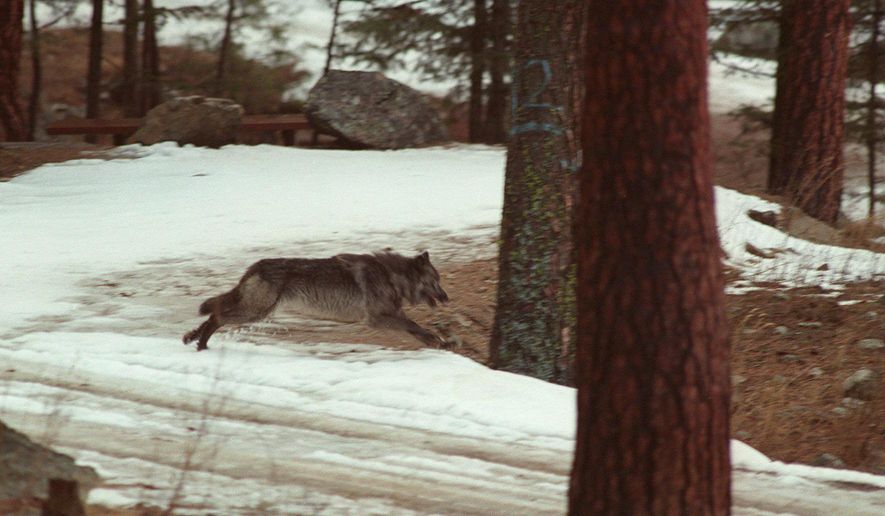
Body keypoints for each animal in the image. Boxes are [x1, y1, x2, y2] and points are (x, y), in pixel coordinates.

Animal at [182, 250, 449, 351]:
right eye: (435, 281)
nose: (447, 298)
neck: (391, 276)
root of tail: (255, 266)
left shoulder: (392, 315)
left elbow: (417, 330)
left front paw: (439, 342)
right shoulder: (377, 319)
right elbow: (414, 325)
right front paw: (439, 341)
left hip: (255, 310)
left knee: (215, 312)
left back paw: (192, 337)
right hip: (255, 312)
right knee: (217, 316)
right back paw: (202, 344)